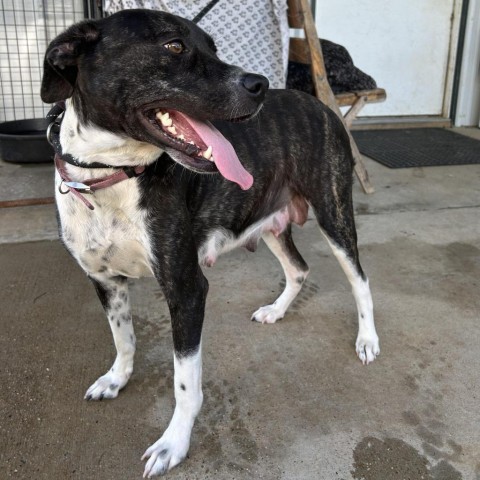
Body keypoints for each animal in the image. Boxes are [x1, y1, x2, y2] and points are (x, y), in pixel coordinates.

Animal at [40, 7, 378, 476]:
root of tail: (316, 102)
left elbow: (185, 383)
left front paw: (174, 443)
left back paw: (368, 340)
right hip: (269, 222)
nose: (259, 84)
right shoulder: (105, 281)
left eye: (214, 47)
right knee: (299, 269)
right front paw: (117, 378)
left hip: (334, 212)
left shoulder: (186, 289)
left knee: (359, 279)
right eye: (174, 45)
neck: (112, 174)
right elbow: (123, 337)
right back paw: (276, 310)